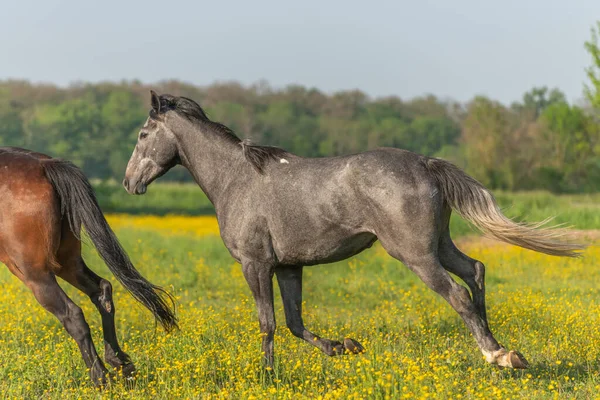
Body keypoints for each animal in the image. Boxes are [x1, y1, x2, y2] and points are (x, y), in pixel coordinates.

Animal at [0, 148, 178, 388]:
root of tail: (45, 166)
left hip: (35, 273)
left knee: (72, 314)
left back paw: (101, 378)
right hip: (67, 263)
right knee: (102, 292)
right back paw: (121, 364)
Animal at [123, 92, 584, 370]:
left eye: (143, 134)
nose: (129, 183)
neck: (235, 179)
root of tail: (425, 163)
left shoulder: (255, 265)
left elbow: (268, 323)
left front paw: (268, 374)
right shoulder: (288, 267)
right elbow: (293, 322)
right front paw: (343, 347)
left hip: (415, 255)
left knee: (458, 294)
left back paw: (496, 355)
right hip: (439, 245)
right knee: (475, 272)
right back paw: (502, 349)